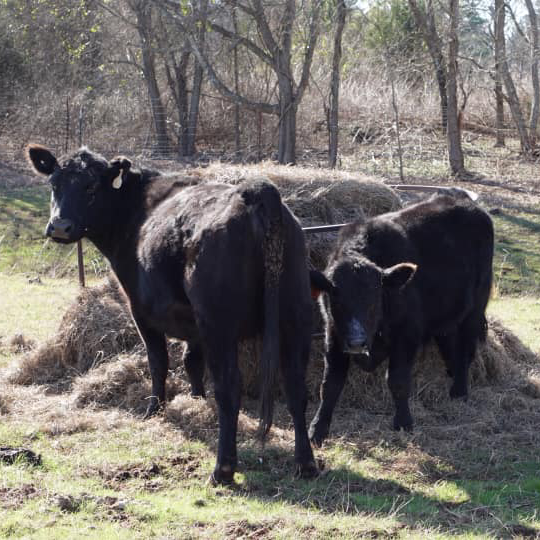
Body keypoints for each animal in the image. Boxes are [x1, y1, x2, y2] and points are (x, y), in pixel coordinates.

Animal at [27, 146, 318, 484]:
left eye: (90, 187)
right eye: (54, 184)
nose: (60, 226)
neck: (135, 212)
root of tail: (255, 192)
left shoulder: (141, 310)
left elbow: (158, 361)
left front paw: (154, 409)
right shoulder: (194, 325)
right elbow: (191, 361)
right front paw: (196, 400)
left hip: (220, 325)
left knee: (229, 387)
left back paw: (223, 469)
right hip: (295, 315)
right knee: (296, 386)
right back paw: (306, 464)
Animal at [308, 192, 494, 446]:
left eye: (375, 298)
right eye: (336, 299)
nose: (357, 342)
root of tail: (467, 204)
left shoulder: (407, 335)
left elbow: (397, 380)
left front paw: (404, 422)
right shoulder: (334, 335)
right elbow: (330, 385)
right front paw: (317, 429)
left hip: (475, 307)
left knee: (465, 346)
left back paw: (459, 391)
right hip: (445, 315)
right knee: (450, 343)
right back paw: (452, 374)